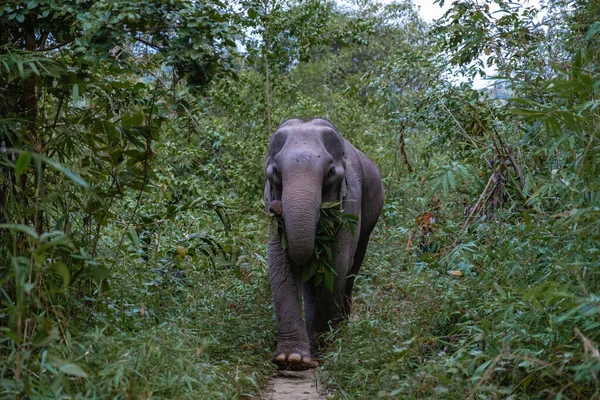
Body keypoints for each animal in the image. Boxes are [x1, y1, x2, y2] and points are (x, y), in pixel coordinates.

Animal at [262, 117, 384, 370]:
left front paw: (323, 349)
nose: (278, 208)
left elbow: (337, 262)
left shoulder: (351, 200)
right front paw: (292, 359)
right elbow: (279, 262)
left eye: (330, 173)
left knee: (352, 268)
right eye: (275, 172)